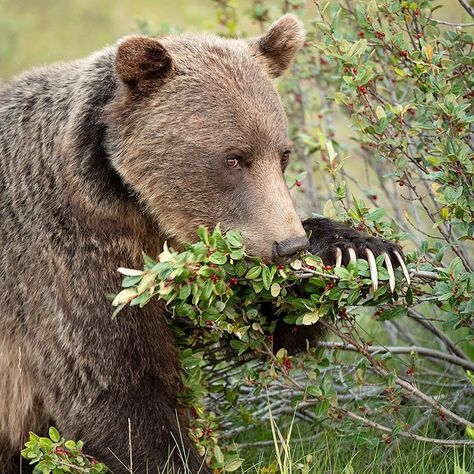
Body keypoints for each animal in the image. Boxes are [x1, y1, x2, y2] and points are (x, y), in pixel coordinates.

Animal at [0, 14, 408, 474]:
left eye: (283, 154)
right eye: (233, 159)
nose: (289, 246)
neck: (130, 203)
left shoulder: (183, 262)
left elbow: (255, 326)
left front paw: (361, 250)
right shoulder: (67, 259)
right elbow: (115, 386)